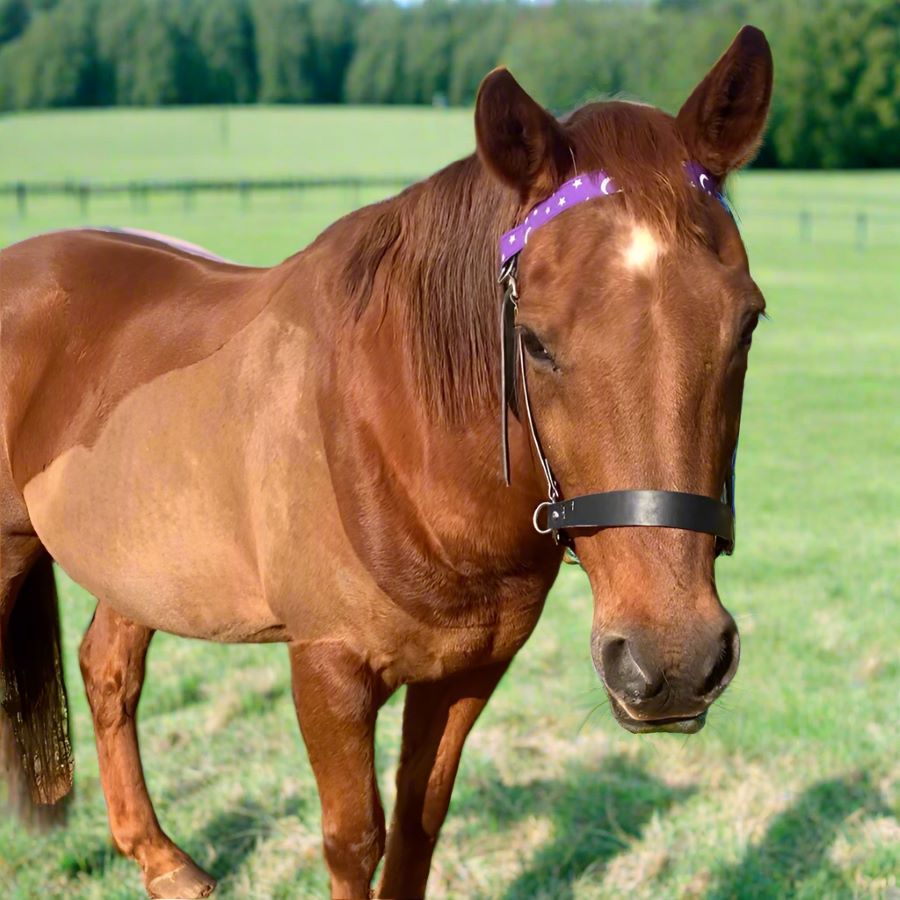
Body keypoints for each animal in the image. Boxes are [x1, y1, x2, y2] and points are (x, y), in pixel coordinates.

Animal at [0, 25, 773, 899]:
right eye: (534, 340)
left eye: (747, 323)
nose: (672, 660)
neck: (403, 440)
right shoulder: (329, 671)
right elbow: (353, 838)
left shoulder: (467, 671)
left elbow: (416, 824)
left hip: (139, 559)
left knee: (108, 670)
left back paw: (164, 863)